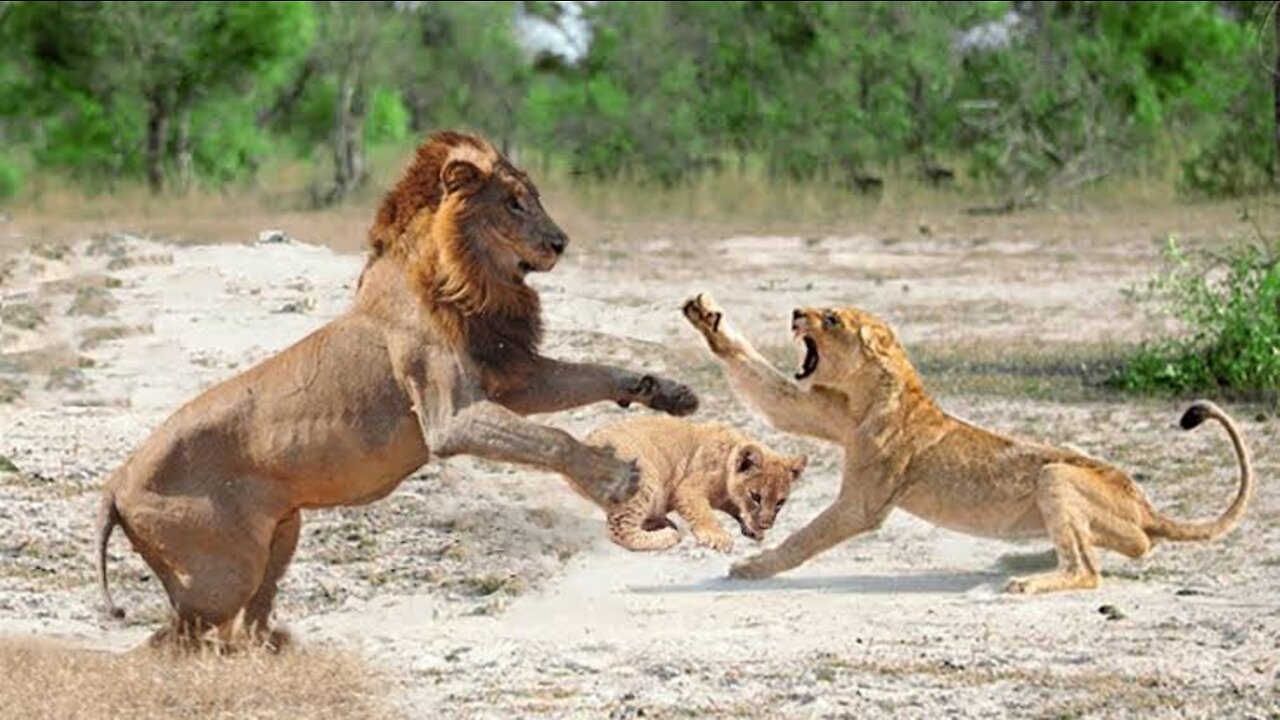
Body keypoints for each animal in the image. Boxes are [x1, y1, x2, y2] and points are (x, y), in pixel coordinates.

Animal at [97, 130, 701, 645]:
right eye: (513, 203)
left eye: (533, 198)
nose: (560, 243)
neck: (473, 282)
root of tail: (115, 484)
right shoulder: (450, 418)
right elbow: (552, 439)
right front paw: (616, 478)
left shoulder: (514, 379)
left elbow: (595, 372)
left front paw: (669, 392)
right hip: (221, 575)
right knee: (169, 644)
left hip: (278, 539)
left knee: (241, 630)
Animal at [686, 292, 1254, 594]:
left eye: (832, 318)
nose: (796, 312)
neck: (872, 392)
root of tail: (1147, 506)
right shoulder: (819, 410)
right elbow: (766, 386)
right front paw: (707, 318)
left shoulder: (864, 502)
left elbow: (806, 538)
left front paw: (752, 567)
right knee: (1107, 548)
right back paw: (1019, 562)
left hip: (1057, 475)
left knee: (1092, 567)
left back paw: (1027, 582)